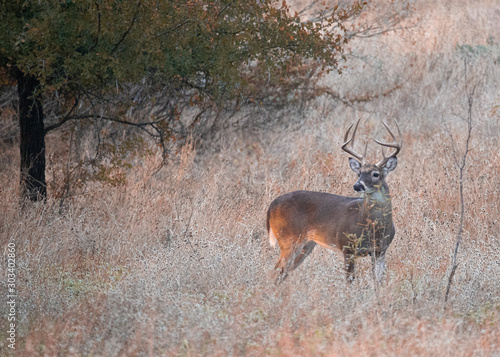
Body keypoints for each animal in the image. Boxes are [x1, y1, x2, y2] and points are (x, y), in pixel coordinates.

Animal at [266, 119, 402, 284]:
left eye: (375, 174)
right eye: (359, 173)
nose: (357, 185)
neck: (374, 228)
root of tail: (271, 206)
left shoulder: (380, 251)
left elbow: (378, 283)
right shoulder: (347, 247)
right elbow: (350, 281)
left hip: (307, 244)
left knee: (285, 272)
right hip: (288, 238)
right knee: (276, 271)